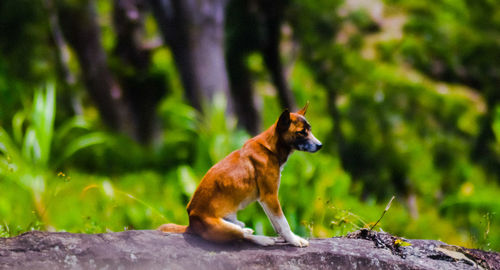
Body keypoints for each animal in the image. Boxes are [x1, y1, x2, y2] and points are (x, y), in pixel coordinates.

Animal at [160, 103, 324, 247]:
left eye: (310, 130)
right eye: (301, 132)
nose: (320, 145)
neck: (270, 148)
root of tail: (191, 223)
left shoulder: (266, 200)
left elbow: (277, 224)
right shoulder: (270, 196)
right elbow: (283, 223)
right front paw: (294, 240)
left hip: (233, 220)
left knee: (241, 228)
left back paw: (247, 229)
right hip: (227, 229)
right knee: (241, 236)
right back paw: (262, 239)